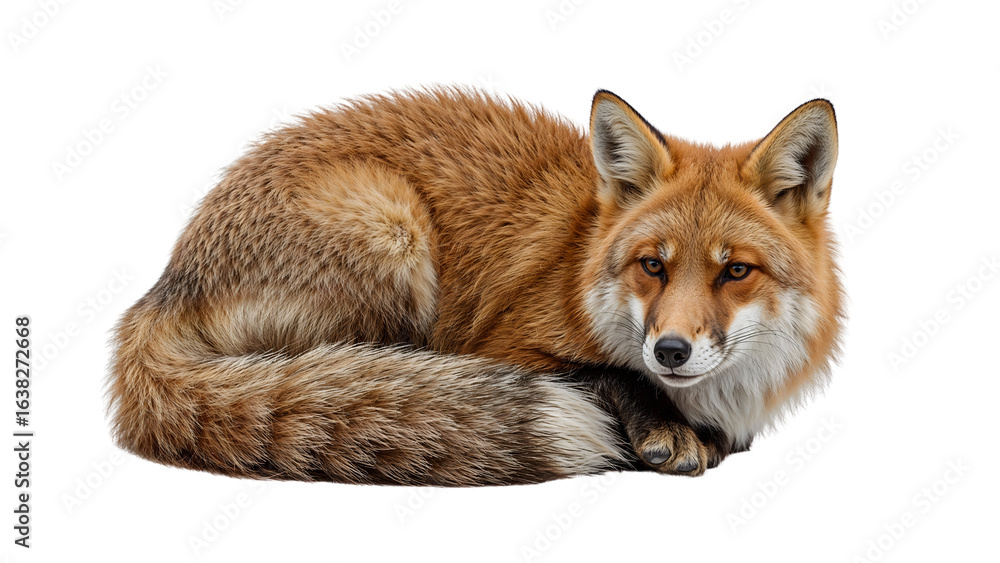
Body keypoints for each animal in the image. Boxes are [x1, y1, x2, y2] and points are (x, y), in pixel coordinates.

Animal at [107, 87, 843, 486]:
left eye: (735, 270)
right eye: (652, 265)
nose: (670, 350)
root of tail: (165, 282)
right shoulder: (504, 342)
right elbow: (605, 374)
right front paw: (660, 428)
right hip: (393, 231)